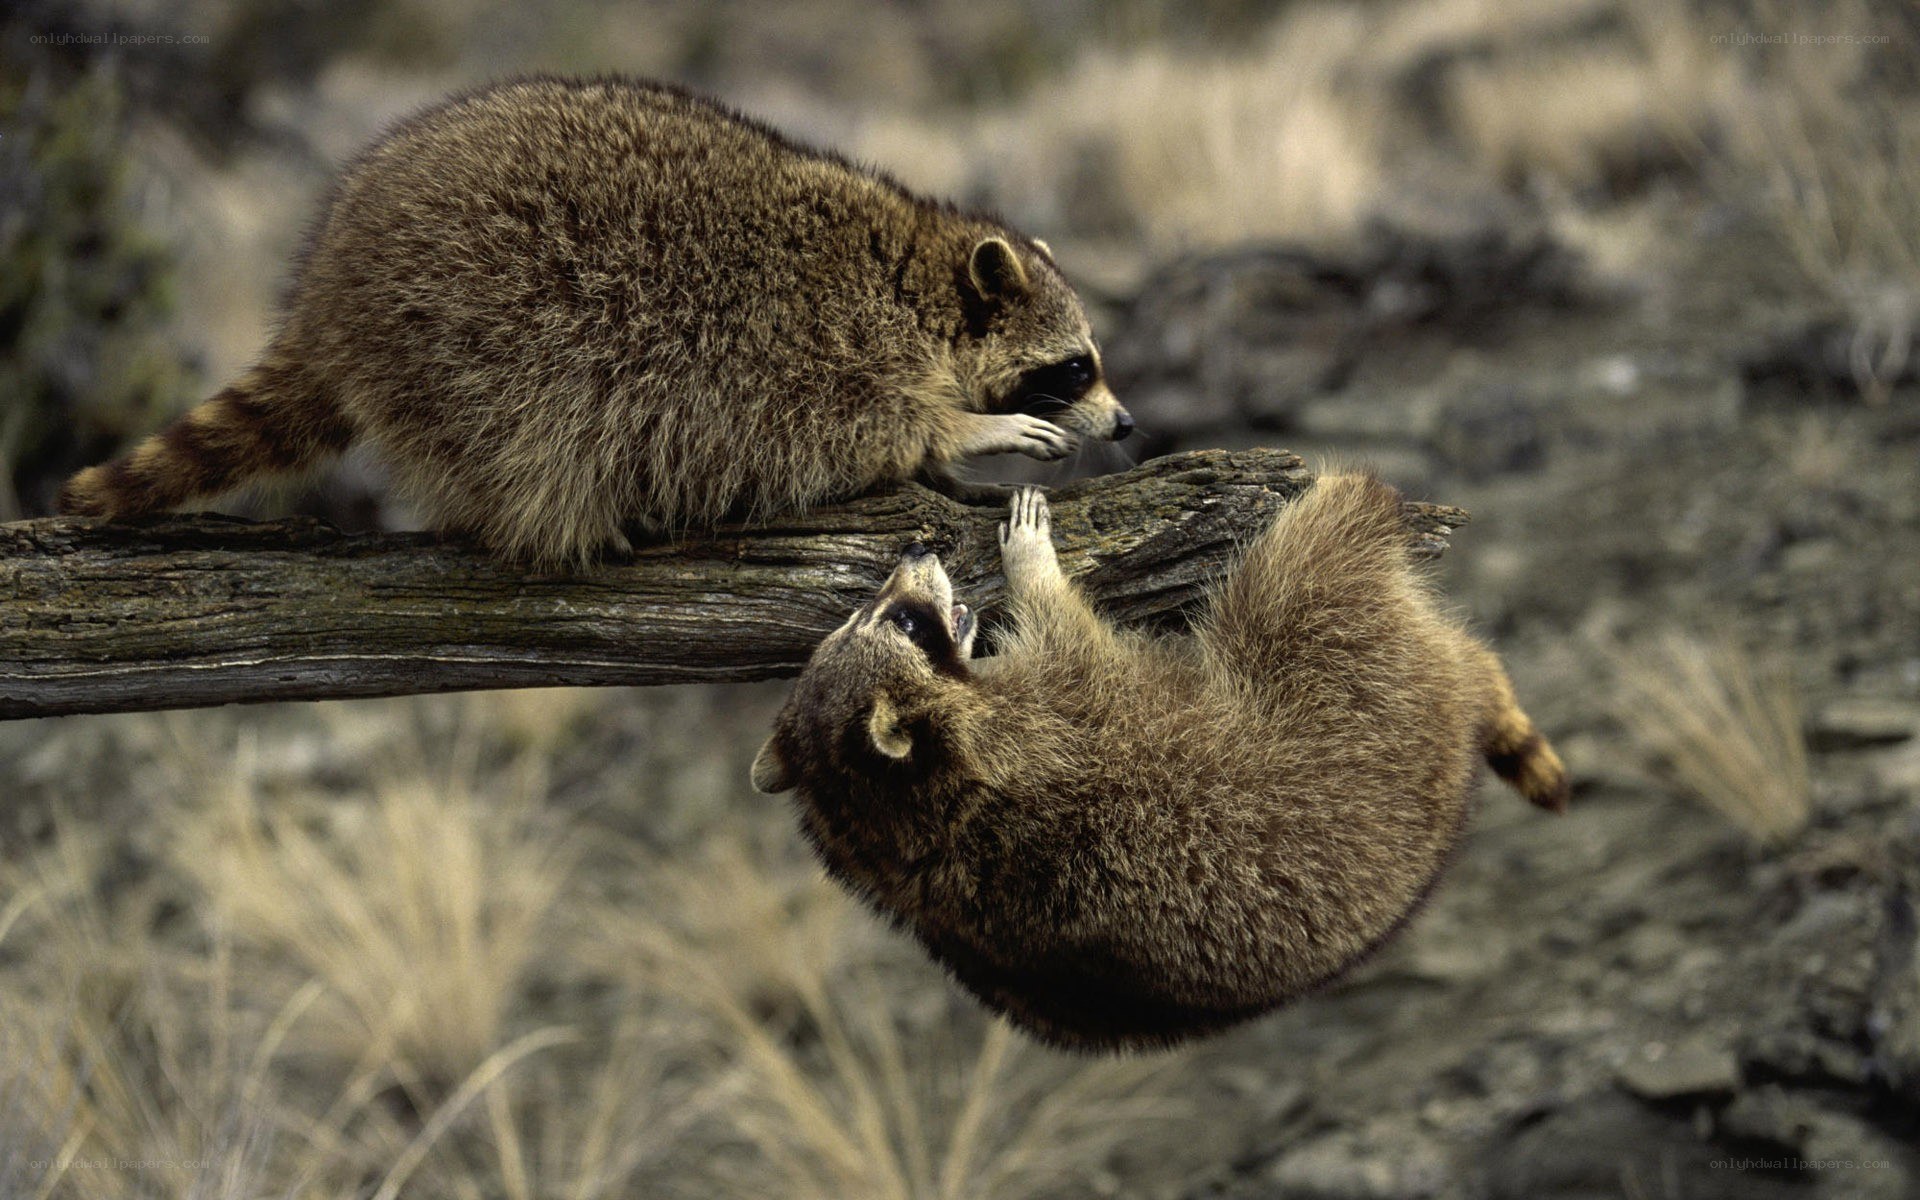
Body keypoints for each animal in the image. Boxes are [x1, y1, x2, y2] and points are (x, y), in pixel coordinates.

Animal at [57, 76, 1130, 564]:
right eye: (1077, 367)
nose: (1125, 423)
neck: (918, 276)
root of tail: (331, 286)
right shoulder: (809, 350)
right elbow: (848, 428)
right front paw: (964, 430)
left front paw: (952, 464)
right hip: (473, 330)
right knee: (527, 431)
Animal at [752, 475, 1569, 1051]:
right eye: (905, 622)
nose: (916, 554)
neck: (885, 816)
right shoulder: (1056, 716)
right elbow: (1067, 629)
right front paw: (1033, 567)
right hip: (1356, 688)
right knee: (1298, 577)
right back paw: (1350, 503)